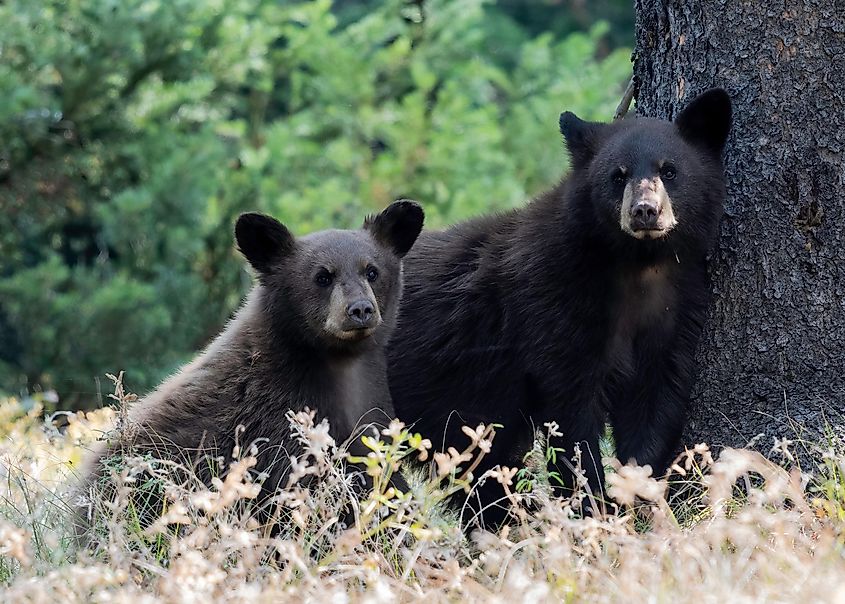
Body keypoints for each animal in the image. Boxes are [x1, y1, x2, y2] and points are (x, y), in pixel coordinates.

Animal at [386, 87, 728, 528]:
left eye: (669, 170)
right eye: (617, 175)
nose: (645, 211)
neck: (637, 265)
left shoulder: (677, 309)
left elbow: (656, 398)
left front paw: (636, 491)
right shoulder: (554, 302)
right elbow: (571, 414)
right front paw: (594, 505)